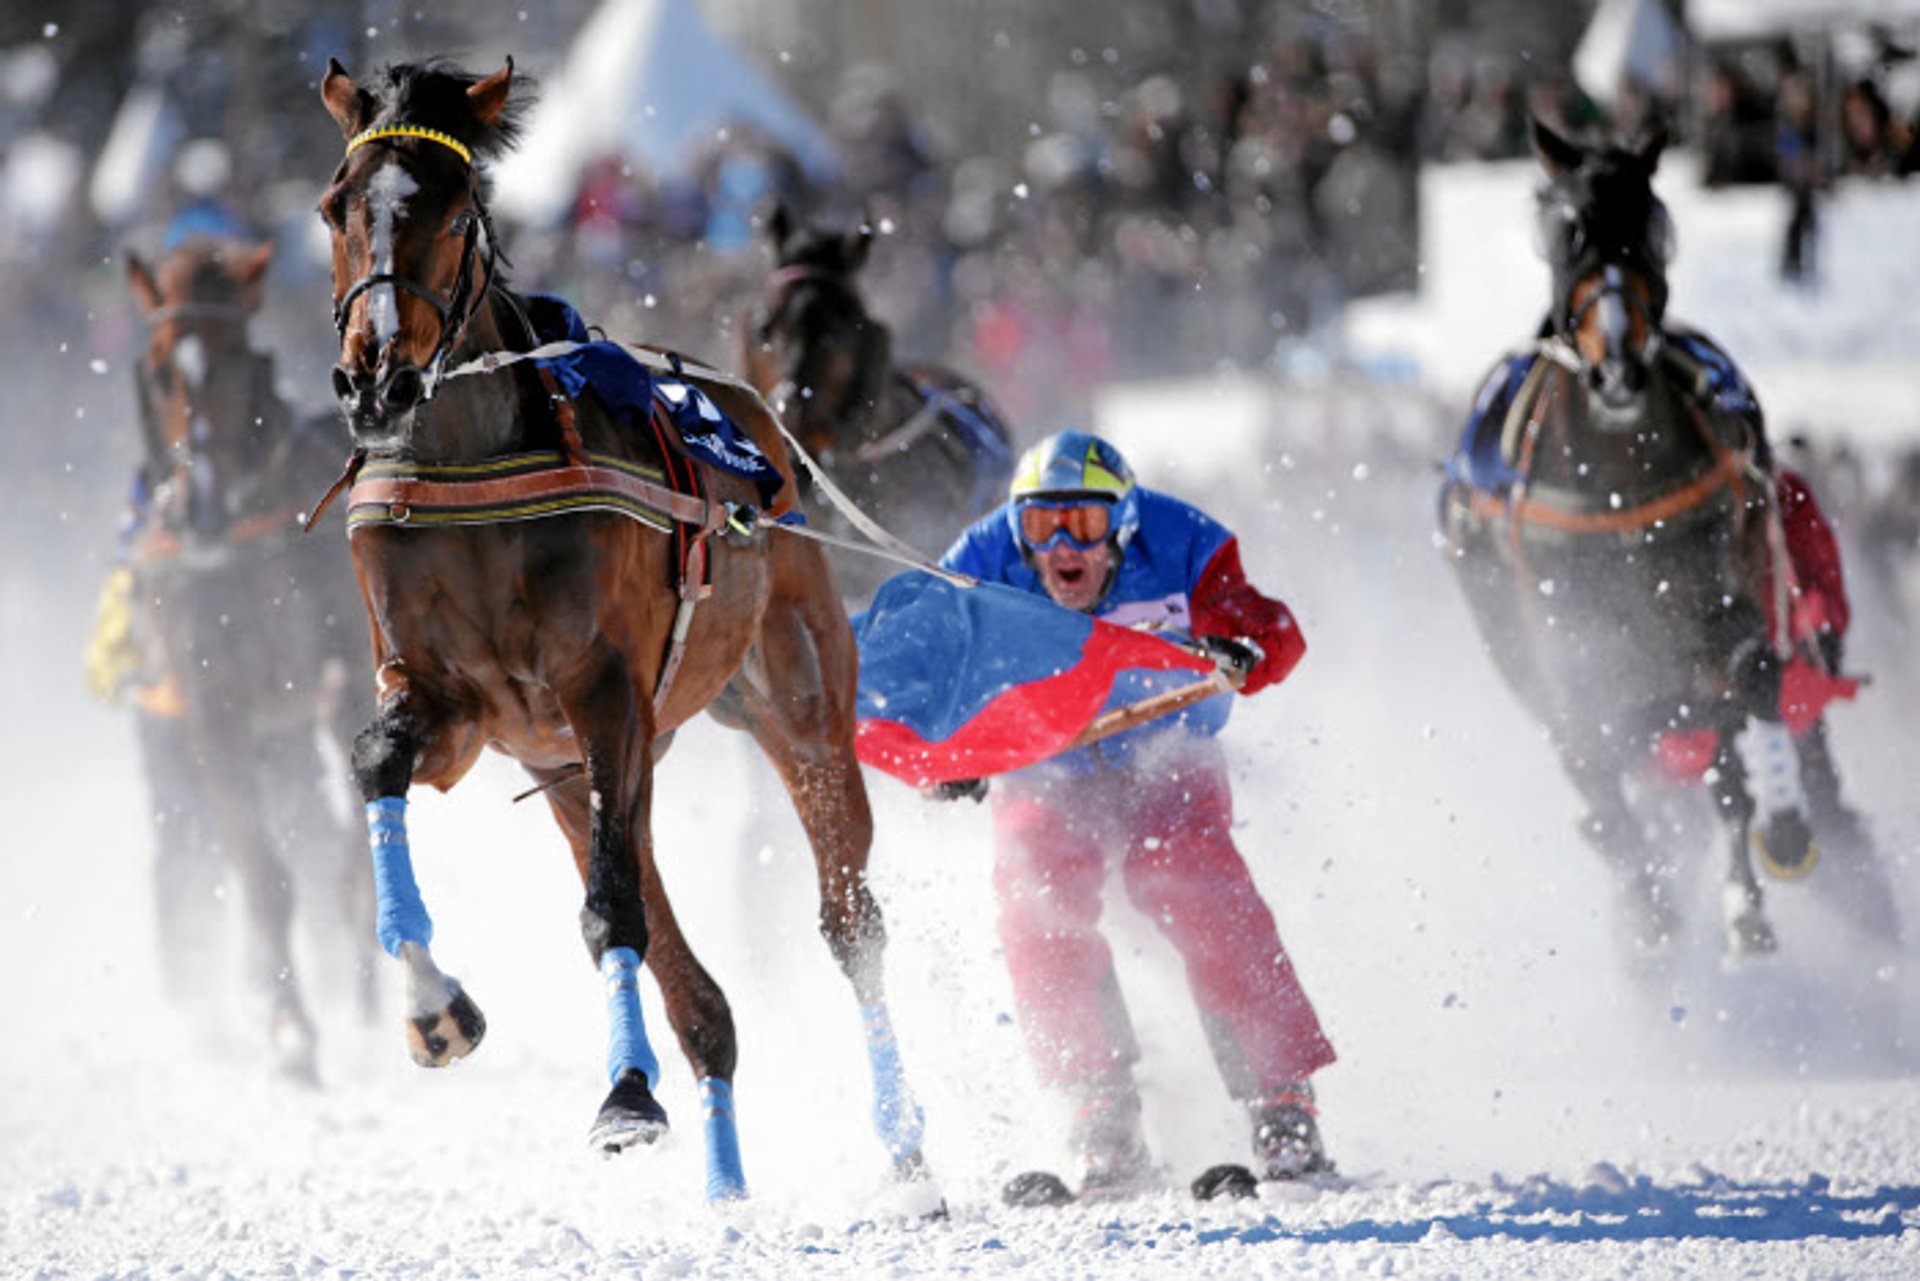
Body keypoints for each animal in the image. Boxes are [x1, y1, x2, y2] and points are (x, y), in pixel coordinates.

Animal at [120, 235, 378, 1075]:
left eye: (236, 360)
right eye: (160, 369)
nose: (198, 505)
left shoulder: (342, 677)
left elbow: (348, 855)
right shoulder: (212, 707)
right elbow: (263, 872)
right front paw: (291, 1028)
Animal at [312, 57, 936, 1206]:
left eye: (454, 210)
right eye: (337, 207)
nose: (374, 380)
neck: (475, 466)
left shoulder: (603, 691)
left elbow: (611, 912)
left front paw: (625, 1100)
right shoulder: (456, 705)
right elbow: (378, 760)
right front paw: (434, 1008)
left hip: (791, 688)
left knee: (846, 919)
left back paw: (906, 1148)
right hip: (577, 765)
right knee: (690, 978)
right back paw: (722, 1158)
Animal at [1443, 122, 1889, 960]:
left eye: (1651, 226)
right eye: (1566, 229)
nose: (1617, 363)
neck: (1619, 484)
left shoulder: (1721, 579)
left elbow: (1752, 682)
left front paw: (1767, 857)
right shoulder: (1565, 633)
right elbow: (1596, 742)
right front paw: (1648, 900)